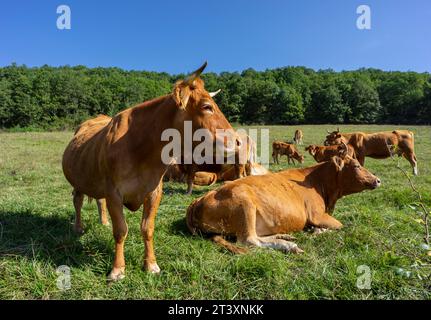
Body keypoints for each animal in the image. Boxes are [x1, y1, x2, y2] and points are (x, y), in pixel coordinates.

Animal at [62, 60, 241, 280]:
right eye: (207, 107)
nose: (238, 141)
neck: (142, 149)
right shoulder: (114, 192)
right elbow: (120, 230)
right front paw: (117, 269)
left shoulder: (154, 191)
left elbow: (147, 228)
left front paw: (151, 264)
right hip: (78, 180)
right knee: (78, 201)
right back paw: (78, 227)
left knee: (98, 201)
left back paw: (103, 222)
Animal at [186, 149, 382, 254]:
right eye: (356, 165)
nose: (378, 180)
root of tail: (199, 199)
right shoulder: (318, 215)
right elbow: (340, 225)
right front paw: (317, 231)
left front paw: (314, 230)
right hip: (245, 204)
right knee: (249, 240)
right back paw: (288, 245)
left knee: (256, 236)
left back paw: (283, 236)